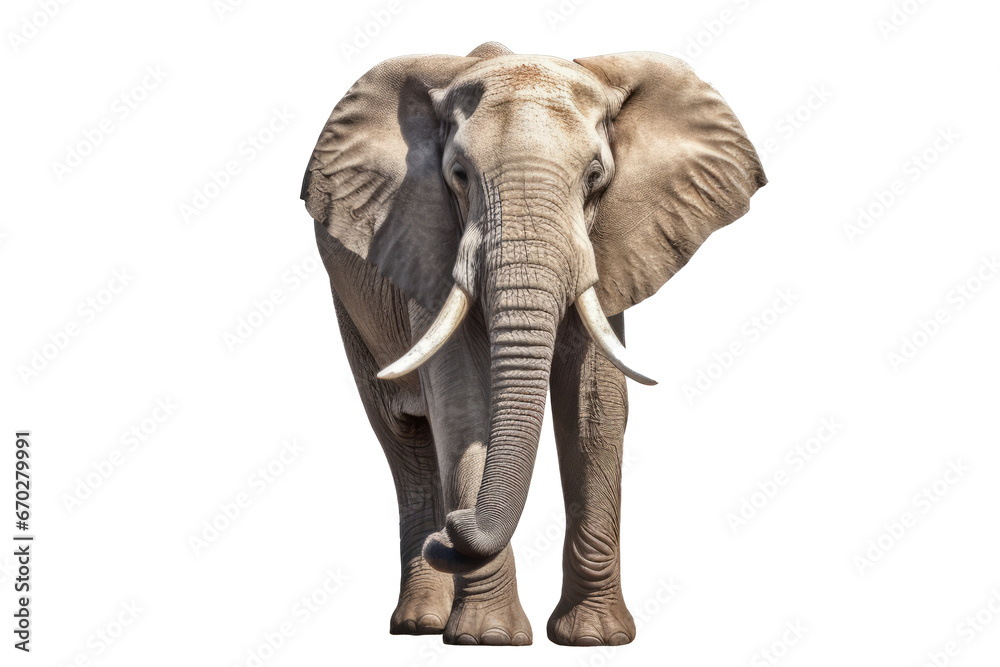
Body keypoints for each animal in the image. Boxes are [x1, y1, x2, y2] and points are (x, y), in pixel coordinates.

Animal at [300, 41, 766, 646]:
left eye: (596, 175)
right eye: (458, 175)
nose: (452, 530)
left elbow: (597, 403)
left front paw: (593, 639)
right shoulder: (426, 244)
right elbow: (462, 402)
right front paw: (487, 639)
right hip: (349, 304)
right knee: (402, 438)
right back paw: (420, 625)